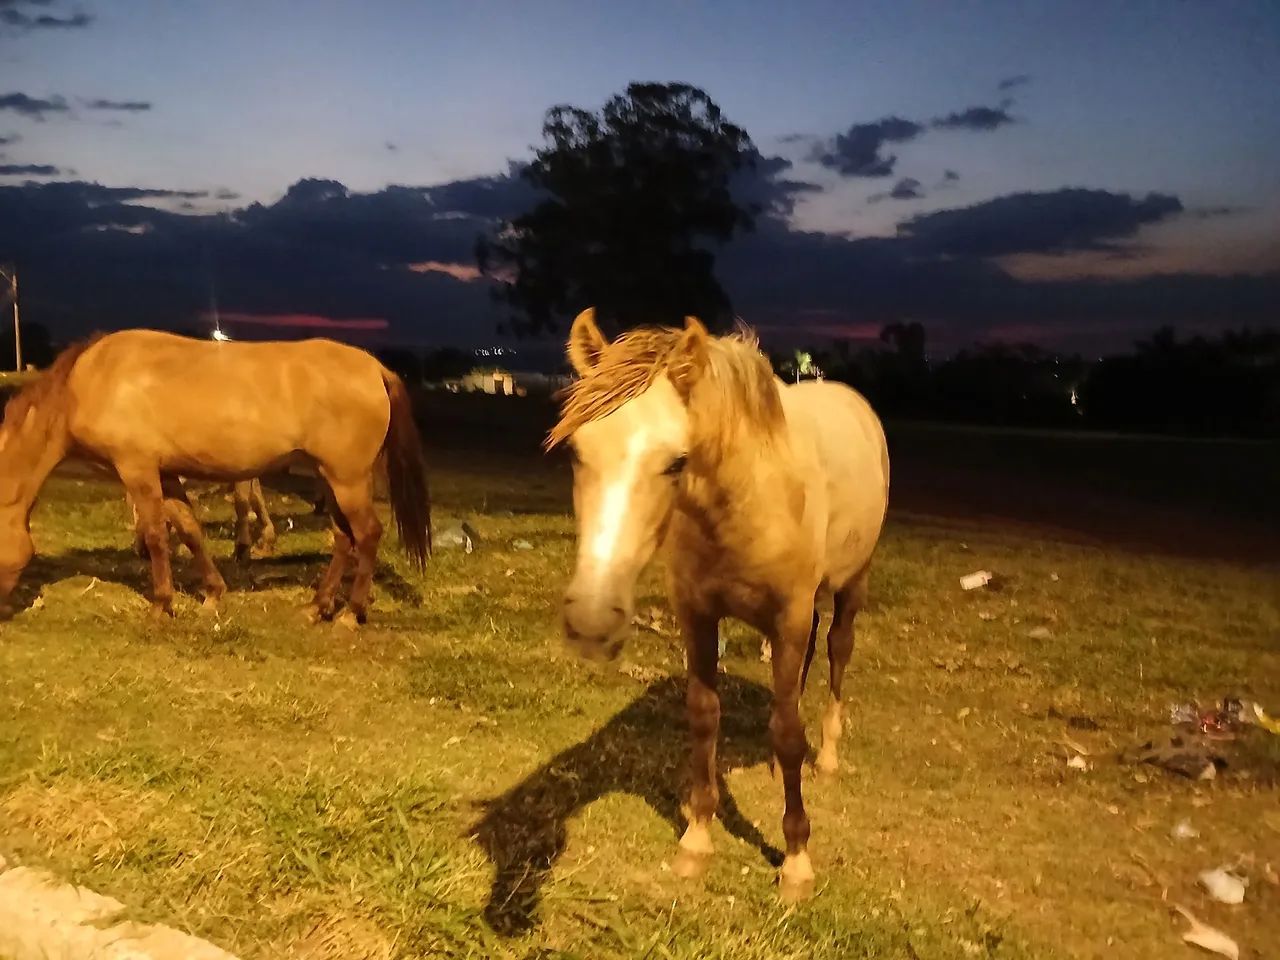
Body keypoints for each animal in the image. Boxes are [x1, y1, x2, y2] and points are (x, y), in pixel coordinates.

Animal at [0, 330, 431, 624]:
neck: (90, 381)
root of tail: (374, 368)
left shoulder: (136, 468)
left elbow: (156, 535)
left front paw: (161, 604)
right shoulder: (165, 473)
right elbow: (189, 530)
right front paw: (212, 593)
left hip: (348, 479)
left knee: (367, 534)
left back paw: (350, 614)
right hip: (332, 478)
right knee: (344, 537)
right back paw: (317, 605)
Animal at [548, 308, 889, 900]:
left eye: (676, 461)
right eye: (575, 451)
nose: (590, 622)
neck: (749, 499)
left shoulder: (789, 615)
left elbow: (788, 732)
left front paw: (796, 860)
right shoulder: (700, 616)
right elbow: (706, 717)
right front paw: (697, 839)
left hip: (851, 585)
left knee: (836, 652)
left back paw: (827, 755)